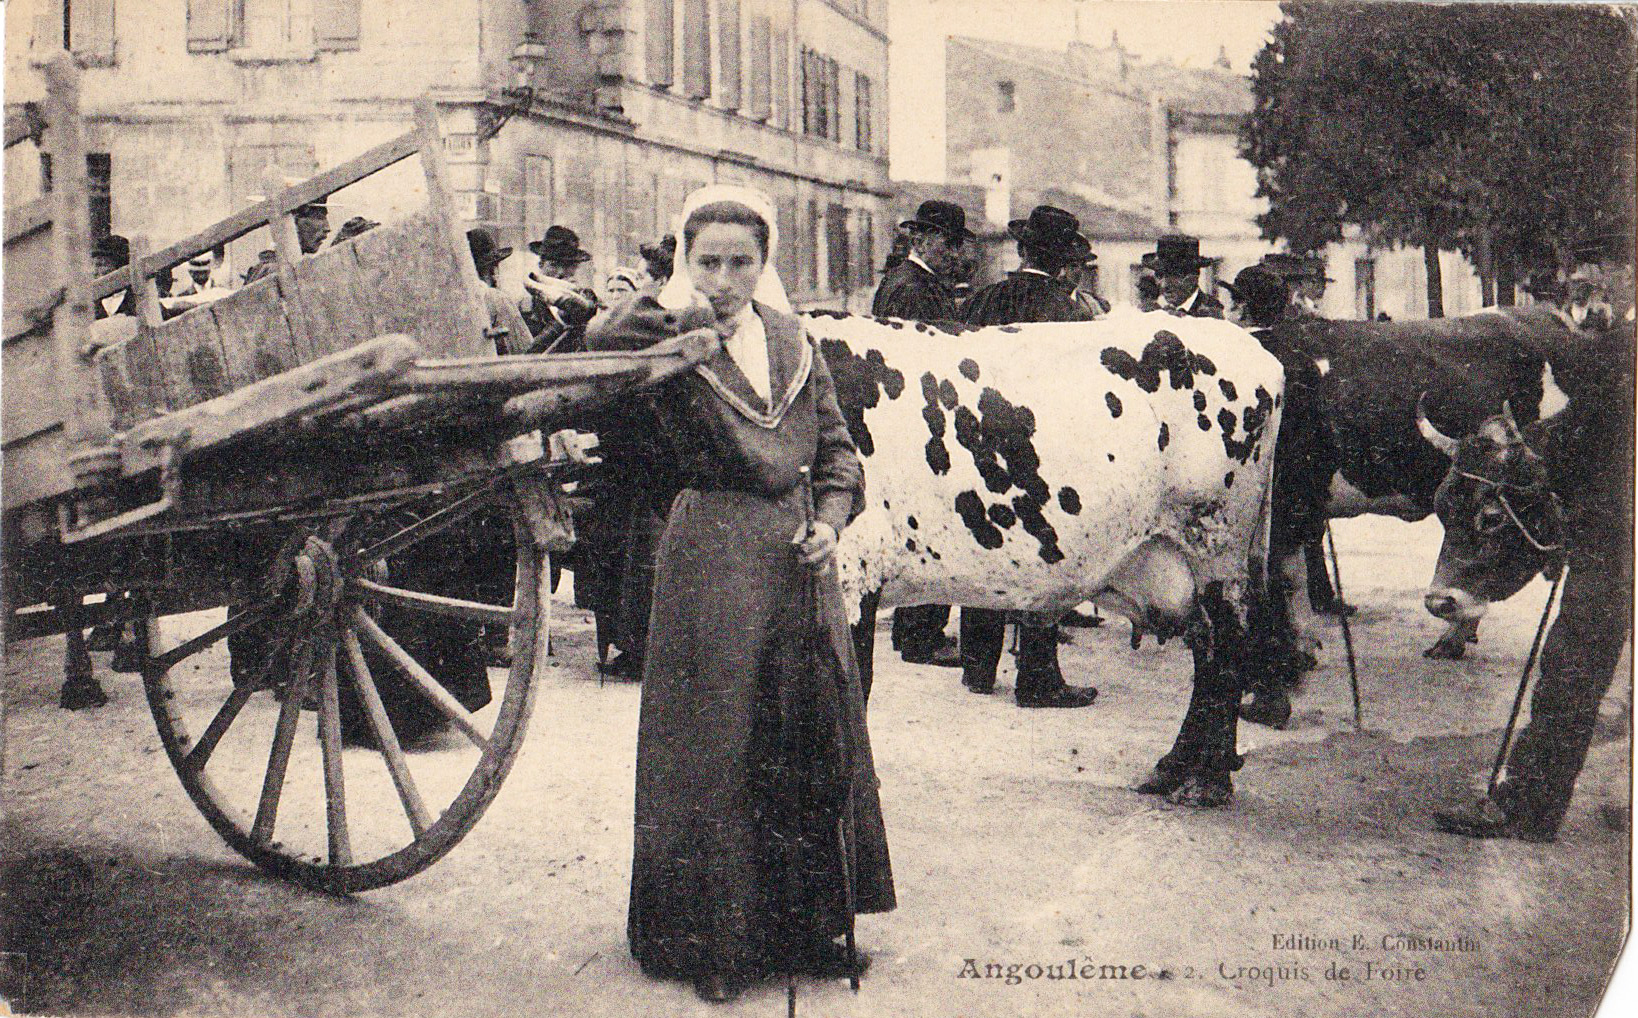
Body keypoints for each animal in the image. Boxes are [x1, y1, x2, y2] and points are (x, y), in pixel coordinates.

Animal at [812, 304, 1284, 806]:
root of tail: (1254, 347)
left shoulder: (853, 574)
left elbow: (851, 695)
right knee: (1207, 651)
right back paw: (1175, 768)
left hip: (1216, 548)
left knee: (1225, 651)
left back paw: (1206, 781)